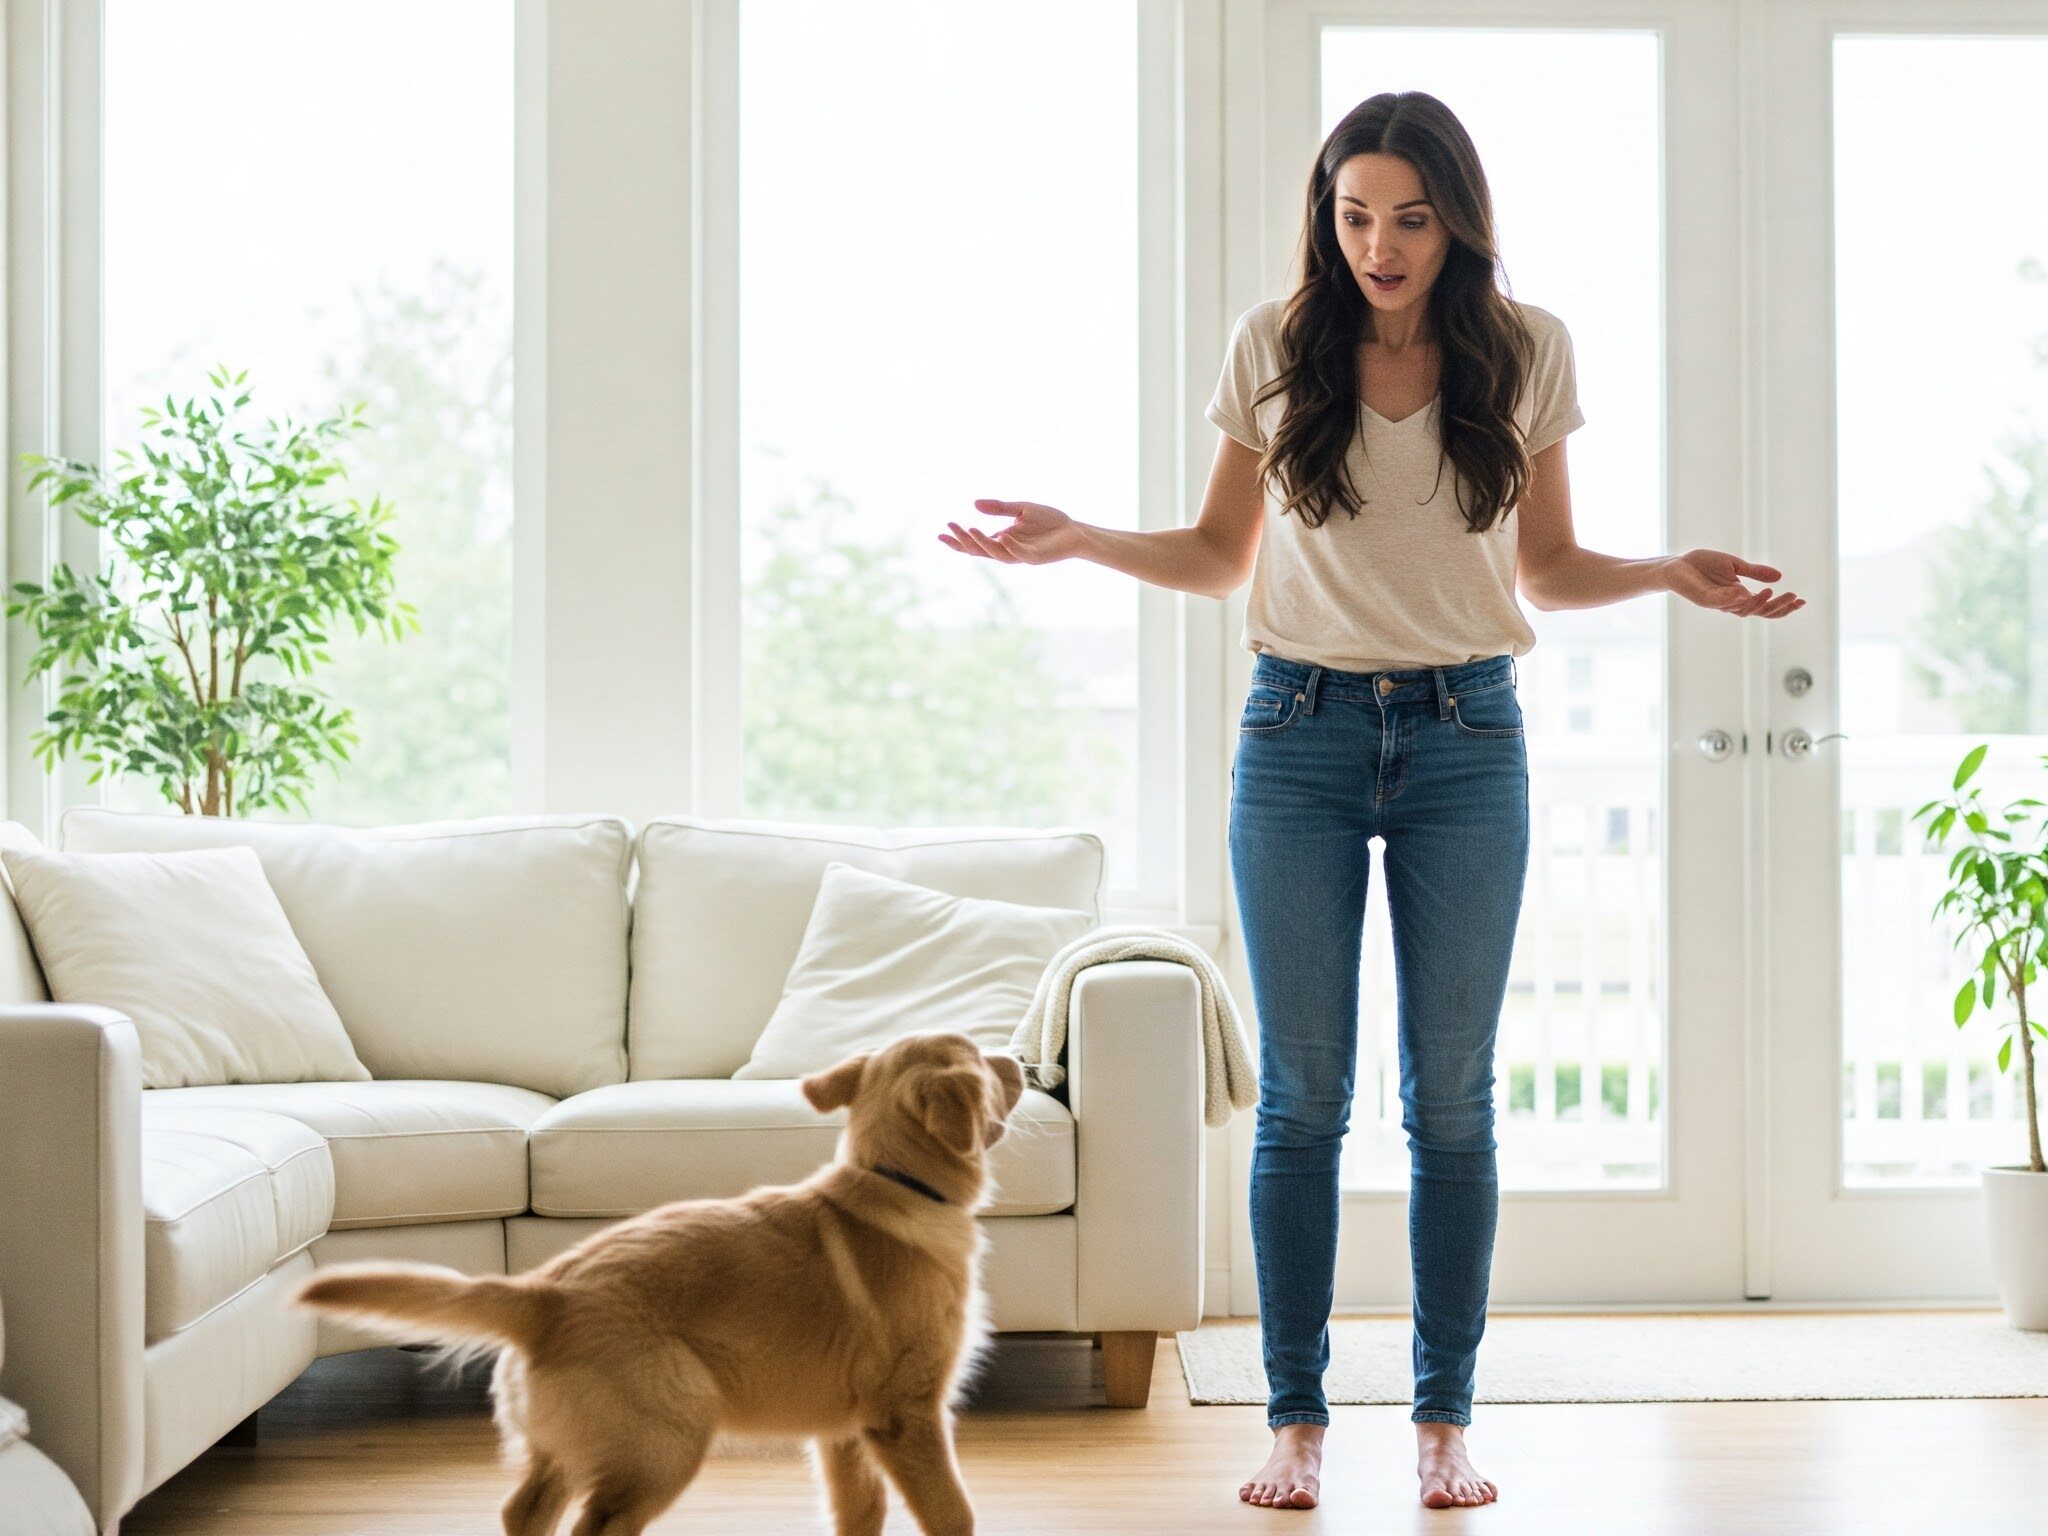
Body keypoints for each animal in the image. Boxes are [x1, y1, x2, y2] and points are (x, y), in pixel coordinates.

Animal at [296, 1036, 1032, 1536]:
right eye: (979, 1059)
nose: (1021, 1059)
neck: (894, 1184)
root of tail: (546, 1294)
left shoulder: (843, 1434)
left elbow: (860, 1515)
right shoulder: (908, 1416)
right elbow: (954, 1514)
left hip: (575, 1445)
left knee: (524, 1511)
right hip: (667, 1440)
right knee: (596, 1525)